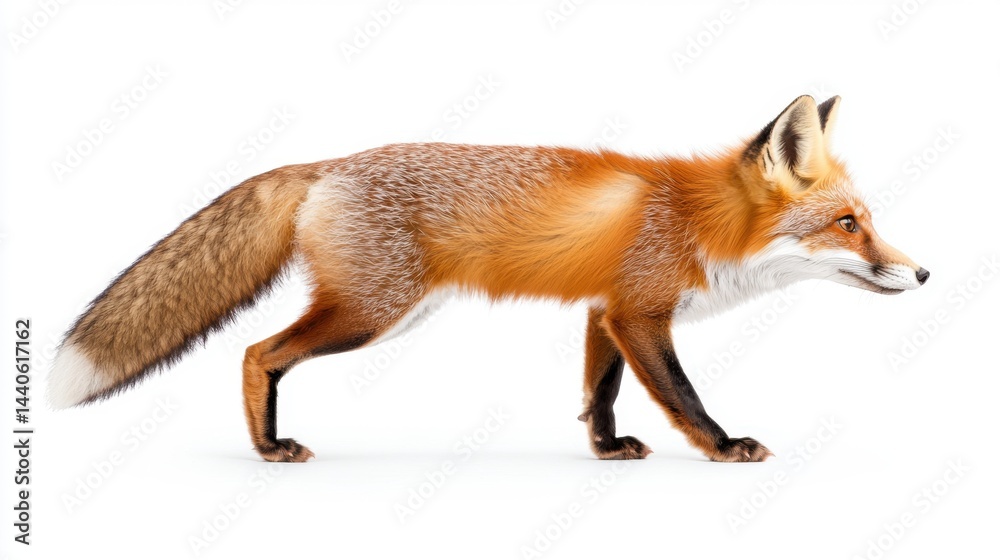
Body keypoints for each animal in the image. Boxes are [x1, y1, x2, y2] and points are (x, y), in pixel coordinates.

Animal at [49, 95, 928, 463]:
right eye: (849, 225)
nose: (923, 271)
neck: (699, 222)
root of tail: (328, 164)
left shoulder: (605, 312)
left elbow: (599, 393)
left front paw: (605, 451)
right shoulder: (643, 313)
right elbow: (682, 394)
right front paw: (723, 446)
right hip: (372, 312)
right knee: (257, 353)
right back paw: (268, 446)